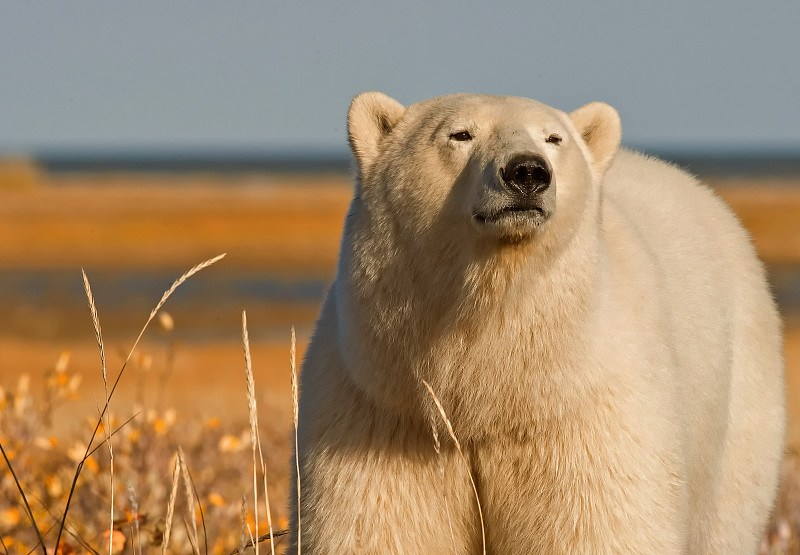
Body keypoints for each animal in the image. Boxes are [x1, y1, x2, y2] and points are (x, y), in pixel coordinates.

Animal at [288, 93, 780, 552]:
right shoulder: (382, 414)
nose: (527, 173)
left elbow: (595, 527)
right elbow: (377, 528)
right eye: (460, 134)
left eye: (553, 138)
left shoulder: (583, 412)